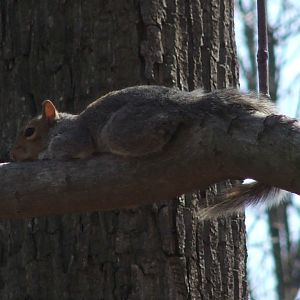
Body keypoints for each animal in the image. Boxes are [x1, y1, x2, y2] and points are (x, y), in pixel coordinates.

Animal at [9, 85, 288, 219]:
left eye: (29, 131)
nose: (12, 154)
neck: (60, 123)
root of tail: (180, 103)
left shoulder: (75, 136)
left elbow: (69, 147)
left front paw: (45, 154)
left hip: (120, 130)